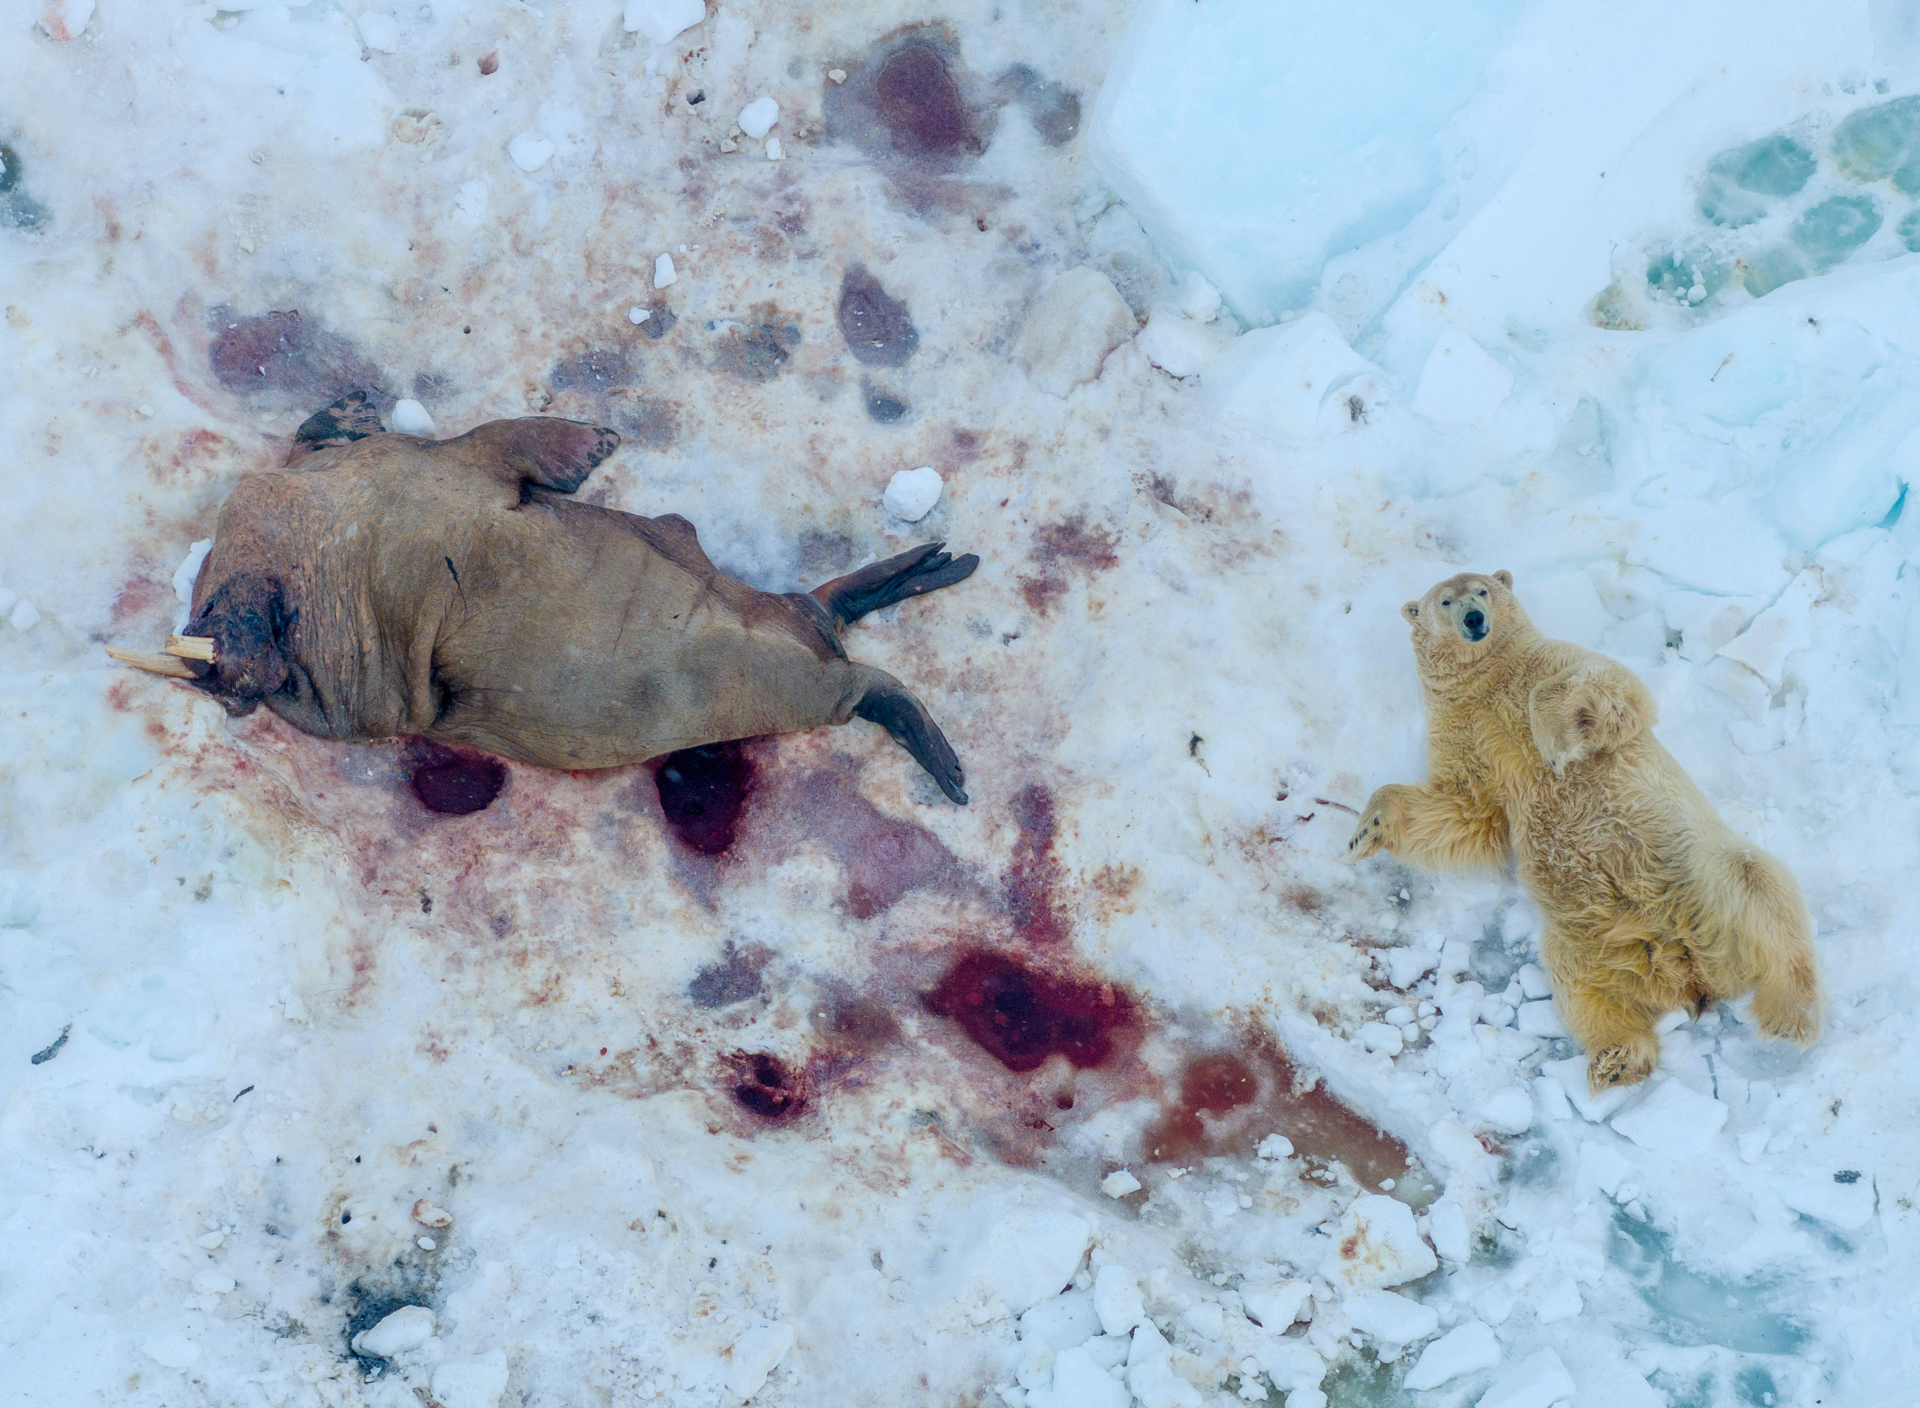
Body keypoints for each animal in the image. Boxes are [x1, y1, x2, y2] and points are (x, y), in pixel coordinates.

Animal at [1345, 569, 1820, 1091]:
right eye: (1445, 600)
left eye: (1484, 590)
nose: (1473, 619)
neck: (1487, 679)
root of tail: (1688, 969)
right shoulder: (1462, 734)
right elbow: (1468, 812)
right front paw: (1364, 832)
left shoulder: (1553, 660)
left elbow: (1608, 691)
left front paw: (1552, 744)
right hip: (1587, 943)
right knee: (1585, 991)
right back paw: (1617, 1059)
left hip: (1701, 871)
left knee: (1759, 891)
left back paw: (1788, 1015)